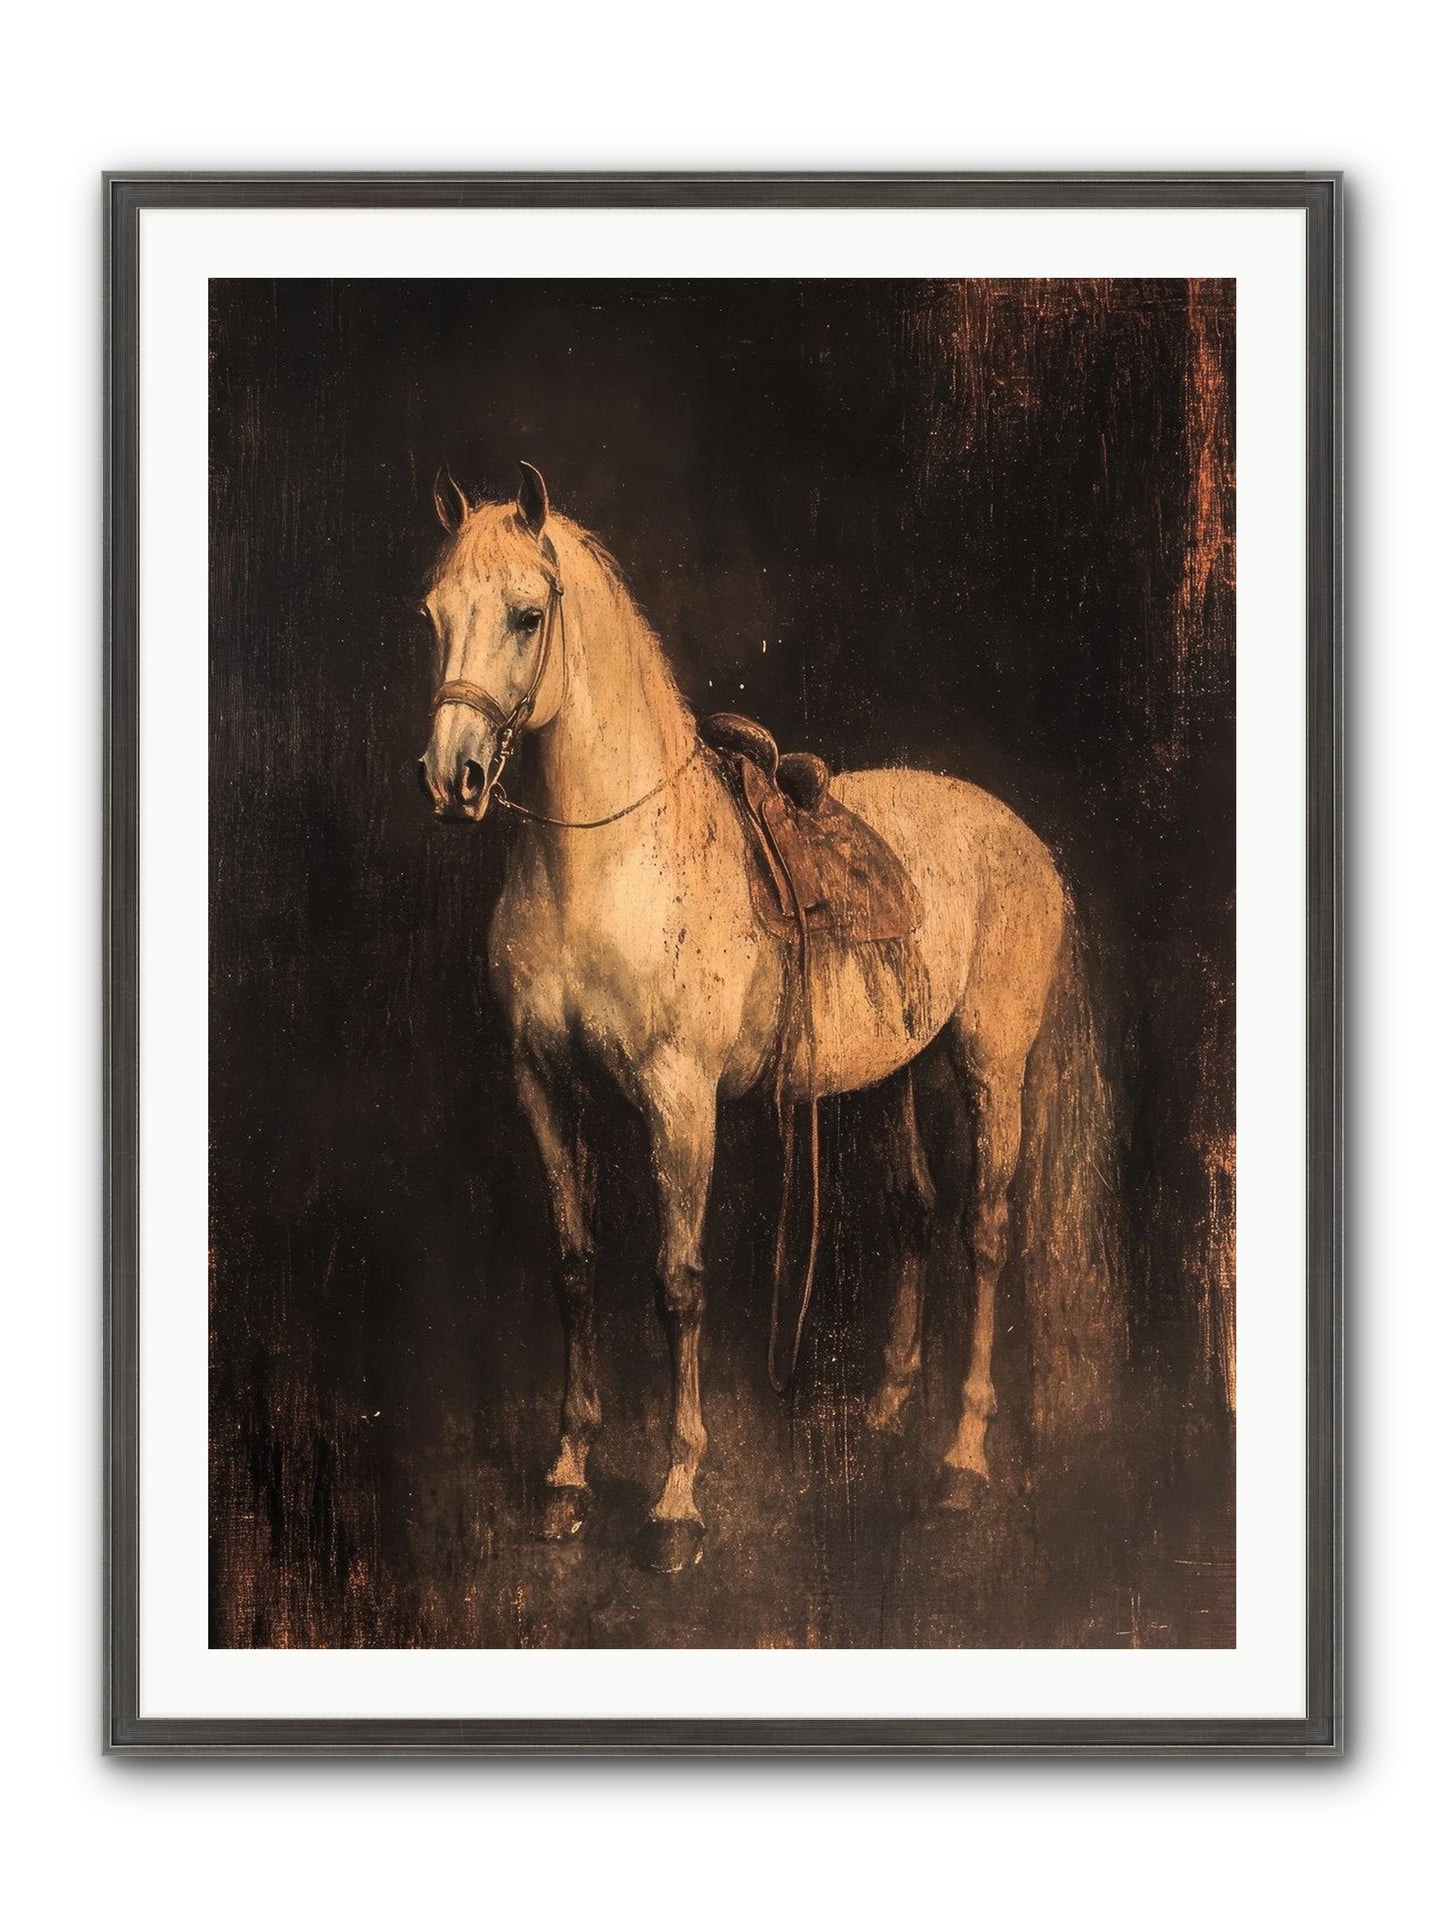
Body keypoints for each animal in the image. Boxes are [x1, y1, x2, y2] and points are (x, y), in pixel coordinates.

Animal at [417, 462, 1122, 1574]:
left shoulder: (679, 1101)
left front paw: (675, 1500)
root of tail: (1021, 837)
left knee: (983, 1233)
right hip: (891, 1077)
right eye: (434, 614)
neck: (608, 863)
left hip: (988, 1068)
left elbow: (677, 1282)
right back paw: (883, 1410)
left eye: (528, 616)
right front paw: (568, 1476)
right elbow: (574, 1268)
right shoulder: (542, 1085)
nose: (453, 780)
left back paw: (961, 1458)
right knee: (916, 1214)